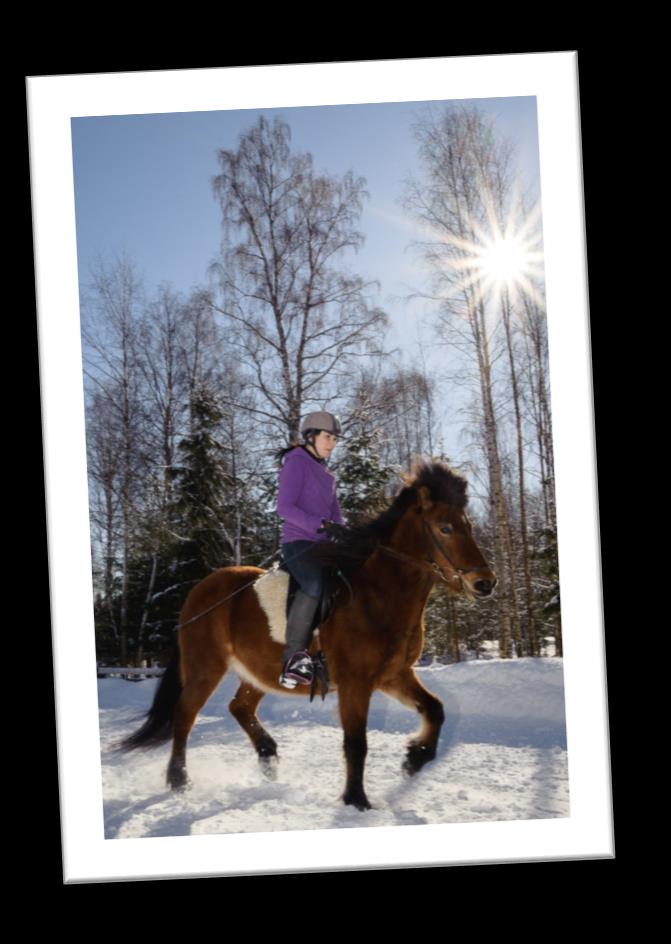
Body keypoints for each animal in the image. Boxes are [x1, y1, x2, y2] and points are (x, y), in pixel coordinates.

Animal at [119, 458, 498, 812]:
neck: (377, 595)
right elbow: (356, 743)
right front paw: (357, 799)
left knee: (239, 707)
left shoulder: (393, 675)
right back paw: (179, 780)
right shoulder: (356, 683)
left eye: (468, 525)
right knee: (185, 715)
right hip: (205, 667)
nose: (485, 583)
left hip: (260, 671)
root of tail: (200, 591)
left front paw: (414, 758)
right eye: (445, 527)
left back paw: (268, 758)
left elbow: (435, 709)